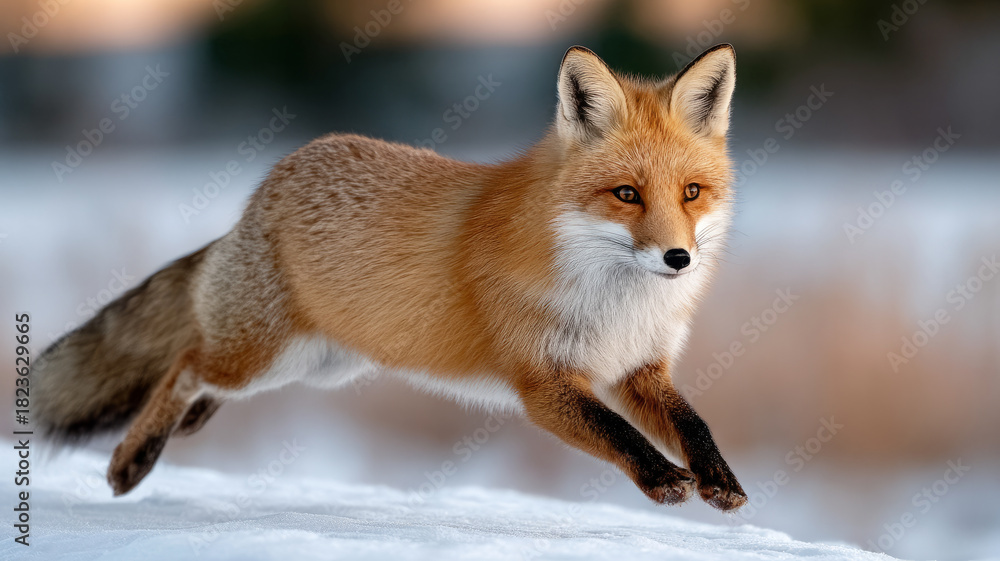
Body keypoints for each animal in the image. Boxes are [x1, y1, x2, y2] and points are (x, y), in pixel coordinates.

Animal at [34, 44, 747, 511]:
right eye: (627, 194)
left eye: (690, 192)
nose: (677, 259)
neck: (618, 305)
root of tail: (265, 189)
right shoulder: (544, 385)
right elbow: (618, 434)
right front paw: (665, 480)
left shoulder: (637, 369)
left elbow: (693, 424)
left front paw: (720, 481)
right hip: (265, 357)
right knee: (184, 364)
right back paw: (129, 463)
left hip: (317, 365)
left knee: (196, 375)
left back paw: (178, 431)